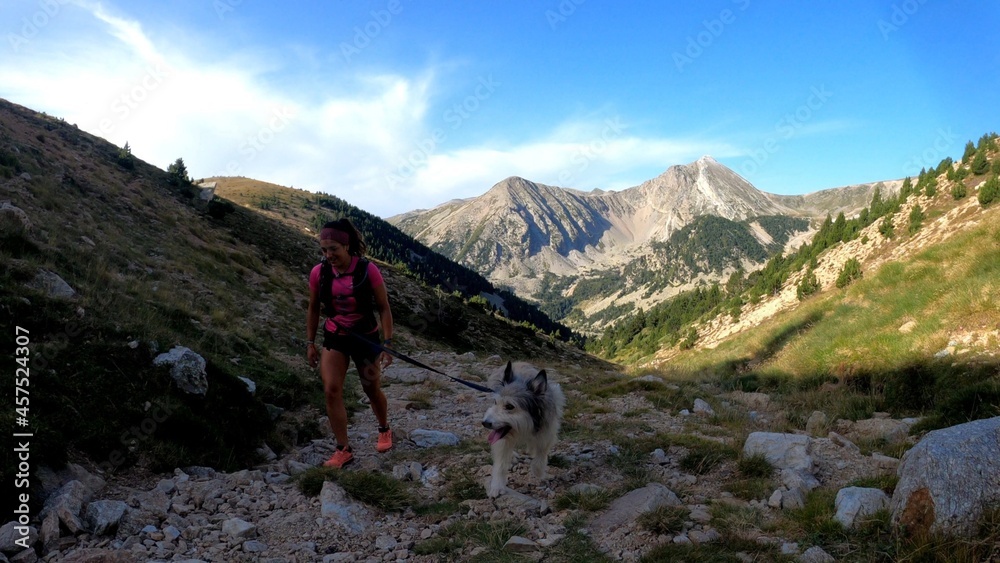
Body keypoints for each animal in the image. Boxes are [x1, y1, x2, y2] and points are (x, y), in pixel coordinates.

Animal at [482, 362, 568, 498]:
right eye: (495, 402)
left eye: (509, 406)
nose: (484, 423)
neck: (526, 426)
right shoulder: (502, 441)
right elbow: (500, 463)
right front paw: (497, 486)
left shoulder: (547, 433)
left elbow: (540, 455)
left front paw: (539, 473)